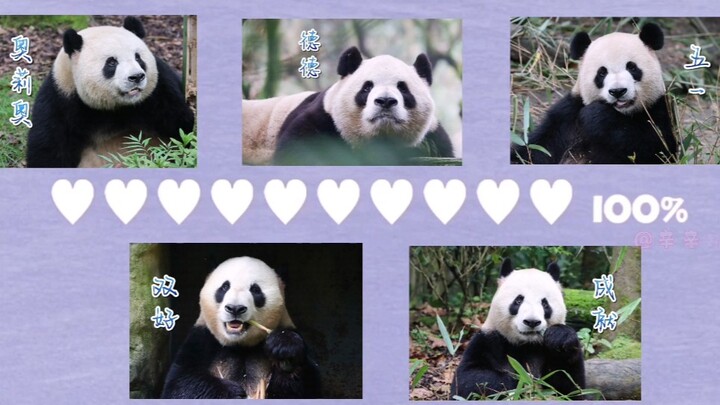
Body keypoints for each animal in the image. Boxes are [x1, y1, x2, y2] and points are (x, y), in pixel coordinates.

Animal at [26, 16, 195, 168]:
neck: (114, 108)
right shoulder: (61, 97)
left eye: (138, 58)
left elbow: (182, 125)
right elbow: (49, 150)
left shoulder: (163, 84)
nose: (136, 77)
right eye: (112, 62)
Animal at [161, 257, 321, 399]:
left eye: (256, 290)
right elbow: (180, 384)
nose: (235, 308)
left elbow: (305, 387)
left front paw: (284, 350)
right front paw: (233, 393)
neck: (240, 345)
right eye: (224, 287)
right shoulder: (202, 339)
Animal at [242, 46, 454, 165]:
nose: (385, 101)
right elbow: (298, 154)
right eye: (367, 87)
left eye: (403, 89)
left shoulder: (434, 136)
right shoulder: (323, 119)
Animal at [451, 259, 585, 399]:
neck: (527, 345)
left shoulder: (546, 351)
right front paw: (521, 380)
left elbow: (571, 386)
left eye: (545, 303)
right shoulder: (488, 340)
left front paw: (559, 336)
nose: (532, 322)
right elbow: (469, 381)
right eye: (518, 301)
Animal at [511, 23, 677, 164]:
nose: (618, 91)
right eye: (601, 73)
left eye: (632, 67)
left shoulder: (658, 107)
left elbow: (658, 148)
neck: (622, 114)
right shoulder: (567, 115)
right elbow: (538, 148)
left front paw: (597, 116)